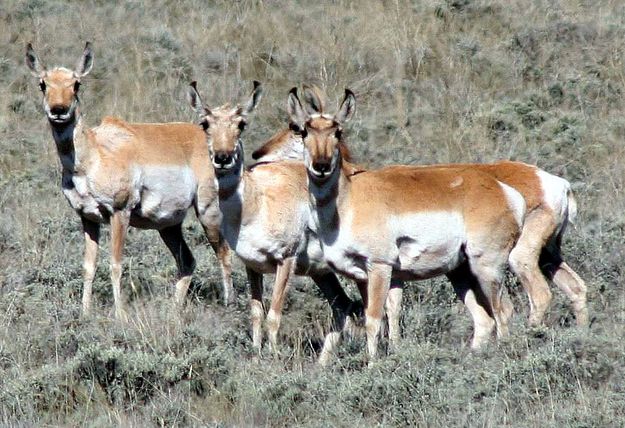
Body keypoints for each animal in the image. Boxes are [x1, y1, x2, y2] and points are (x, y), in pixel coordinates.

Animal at [23, 42, 234, 318]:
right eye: (43, 83)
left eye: (76, 84)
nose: (59, 110)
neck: (92, 157)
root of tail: (211, 140)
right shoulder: (88, 218)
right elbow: (88, 266)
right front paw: (85, 313)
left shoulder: (119, 213)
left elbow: (115, 264)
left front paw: (120, 315)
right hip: (168, 225)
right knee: (187, 261)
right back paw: (174, 311)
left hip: (208, 212)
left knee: (225, 254)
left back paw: (230, 306)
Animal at [188, 82, 358, 360]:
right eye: (205, 123)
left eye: (241, 123)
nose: (223, 157)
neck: (255, 204)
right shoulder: (251, 265)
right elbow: (257, 314)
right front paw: (257, 356)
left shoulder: (285, 261)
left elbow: (273, 316)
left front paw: (273, 357)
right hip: (322, 273)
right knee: (344, 306)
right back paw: (323, 363)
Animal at [251, 94, 588, 328]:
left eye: (295, 128)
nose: (257, 154)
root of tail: (554, 182)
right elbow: (391, 309)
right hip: (548, 256)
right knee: (576, 288)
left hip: (516, 258)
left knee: (538, 297)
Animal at [288, 86, 528, 358]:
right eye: (304, 131)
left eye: (338, 132)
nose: (321, 165)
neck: (348, 201)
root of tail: (502, 190)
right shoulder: (364, 276)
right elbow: (383, 317)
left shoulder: (379, 267)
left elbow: (374, 320)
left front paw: (374, 363)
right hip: (460, 272)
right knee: (484, 319)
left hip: (486, 266)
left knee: (503, 311)